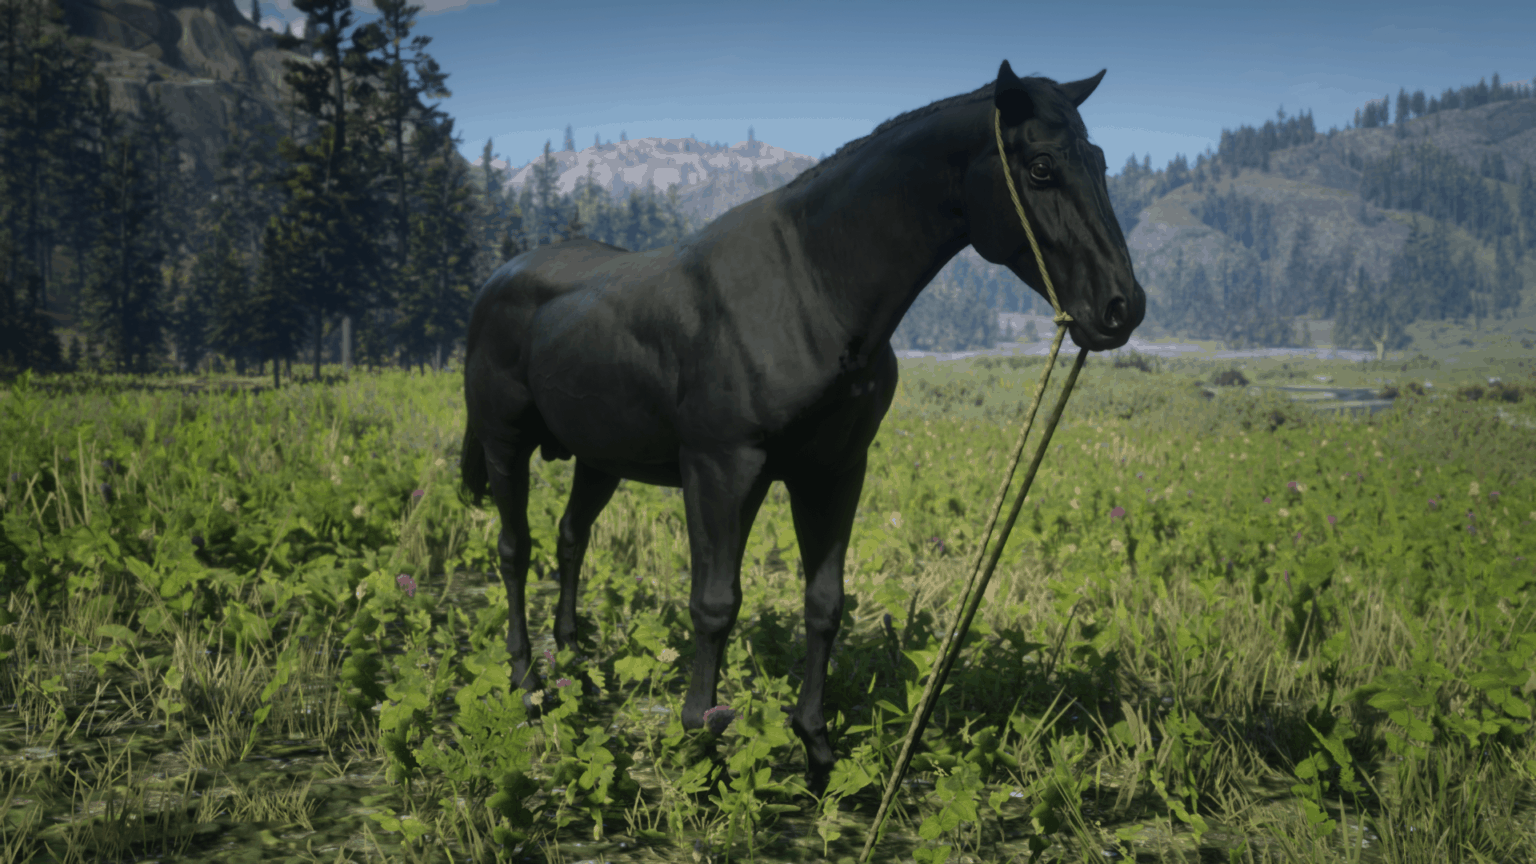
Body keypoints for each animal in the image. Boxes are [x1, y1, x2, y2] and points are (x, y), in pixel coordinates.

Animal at [461, 60, 1144, 793]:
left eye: (1100, 161)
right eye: (1042, 166)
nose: (1121, 307)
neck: (812, 293)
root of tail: (498, 278)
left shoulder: (833, 471)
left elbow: (824, 602)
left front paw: (816, 750)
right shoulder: (720, 467)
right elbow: (714, 603)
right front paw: (700, 741)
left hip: (598, 457)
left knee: (570, 539)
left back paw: (573, 660)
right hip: (506, 444)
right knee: (515, 548)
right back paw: (525, 677)